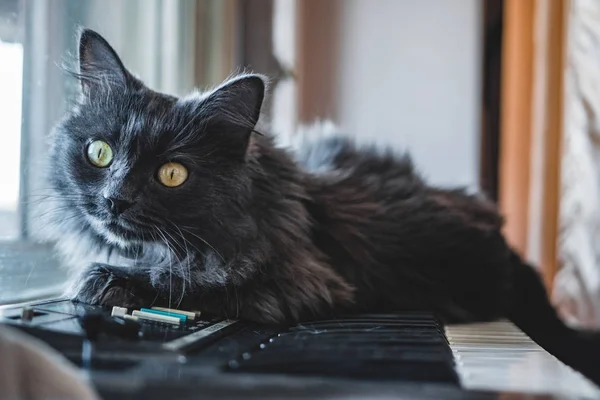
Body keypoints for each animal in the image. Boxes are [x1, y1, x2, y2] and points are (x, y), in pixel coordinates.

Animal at [37, 28, 600, 384]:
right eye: (100, 152)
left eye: (172, 174)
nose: (115, 198)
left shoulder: (296, 282)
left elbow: (190, 280)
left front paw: (107, 280)